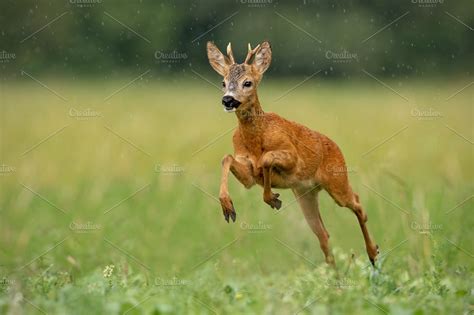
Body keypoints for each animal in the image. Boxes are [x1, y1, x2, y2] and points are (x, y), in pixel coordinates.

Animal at [206, 40, 380, 266]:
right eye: (223, 82)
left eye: (248, 83)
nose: (227, 100)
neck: (256, 139)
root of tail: (336, 147)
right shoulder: (248, 174)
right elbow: (226, 158)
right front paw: (229, 207)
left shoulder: (293, 157)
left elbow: (267, 159)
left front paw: (272, 197)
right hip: (305, 193)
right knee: (323, 234)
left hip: (337, 182)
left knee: (358, 204)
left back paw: (373, 253)